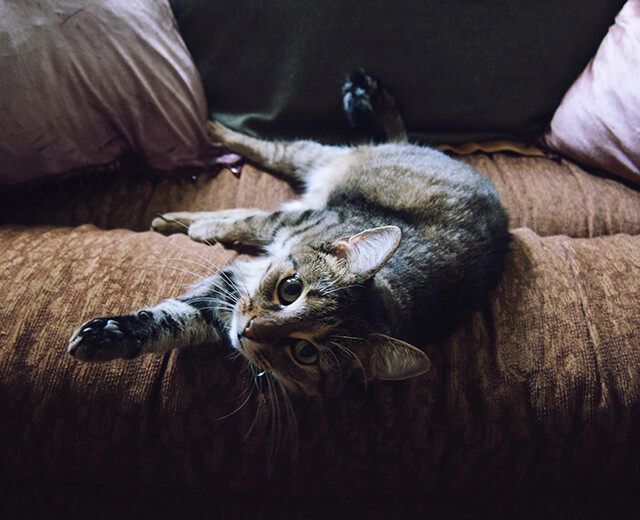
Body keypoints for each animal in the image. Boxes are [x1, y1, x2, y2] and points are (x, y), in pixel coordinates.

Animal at [69, 72, 510, 398]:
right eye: (290, 289)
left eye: (304, 353)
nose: (248, 330)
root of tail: (421, 146)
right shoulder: (275, 241)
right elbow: (249, 223)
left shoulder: (231, 292)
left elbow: (177, 320)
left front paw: (113, 336)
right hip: (310, 158)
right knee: (263, 151)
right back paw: (209, 134)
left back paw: (174, 217)